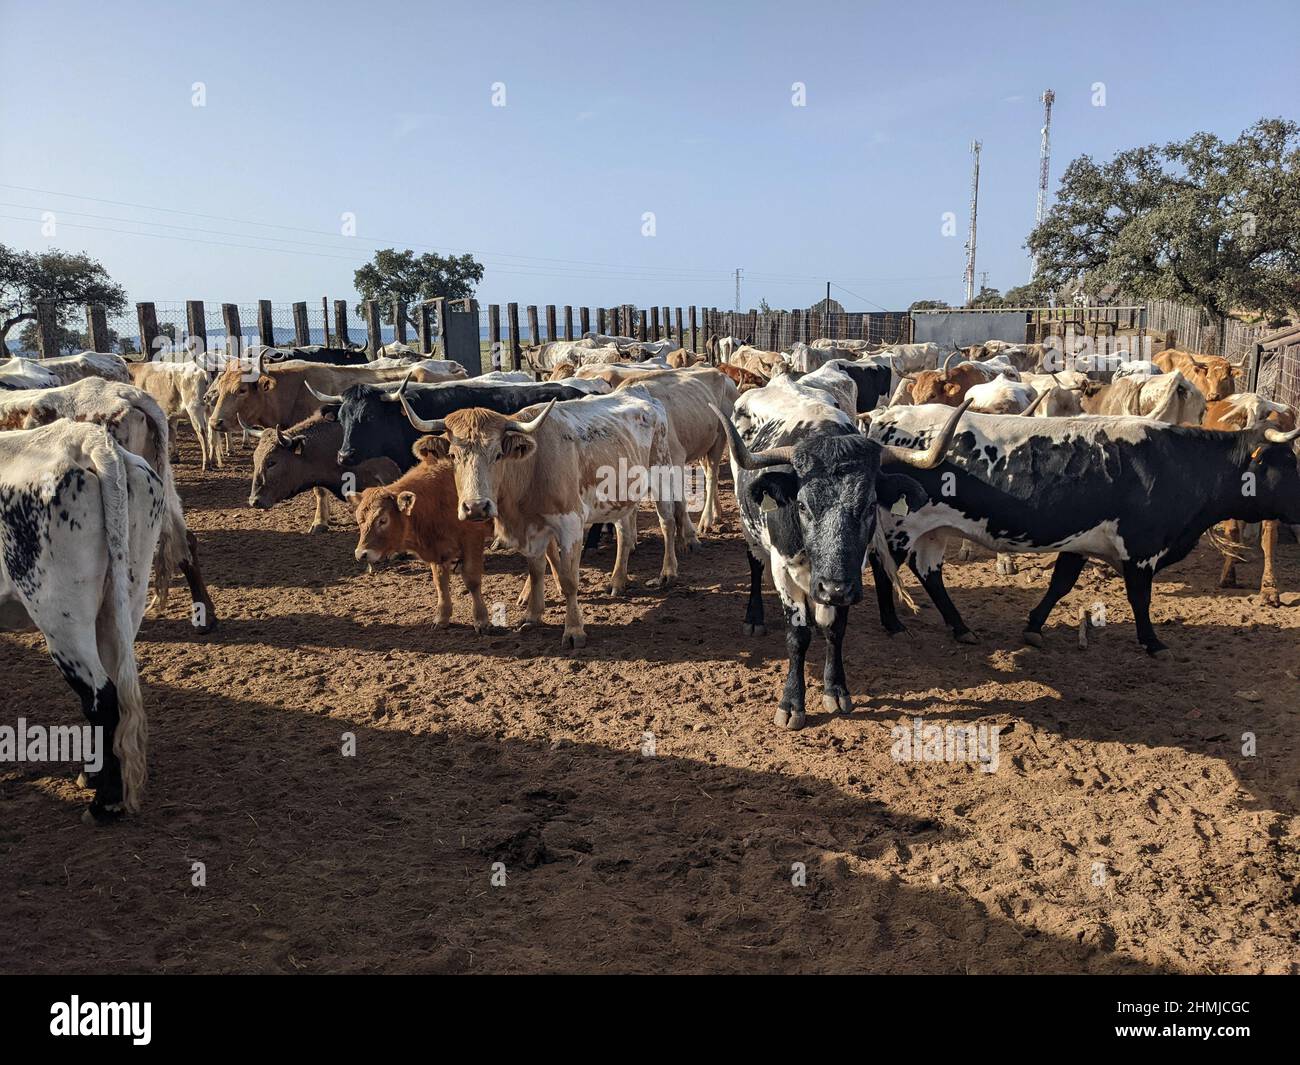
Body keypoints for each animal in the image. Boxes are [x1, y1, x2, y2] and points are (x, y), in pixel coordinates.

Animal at [868, 408, 1300, 657]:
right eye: (1288, 462)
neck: (1177, 463)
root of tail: (888, 419)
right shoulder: (1141, 550)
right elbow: (1140, 598)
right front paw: (1152, 642)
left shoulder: (1079, 542)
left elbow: (1060, 584)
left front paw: (1033, 627)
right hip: (899, 528)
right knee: (882, 567)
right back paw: (892, 624)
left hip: (934, 530)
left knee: (929, 573)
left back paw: (960, 628)